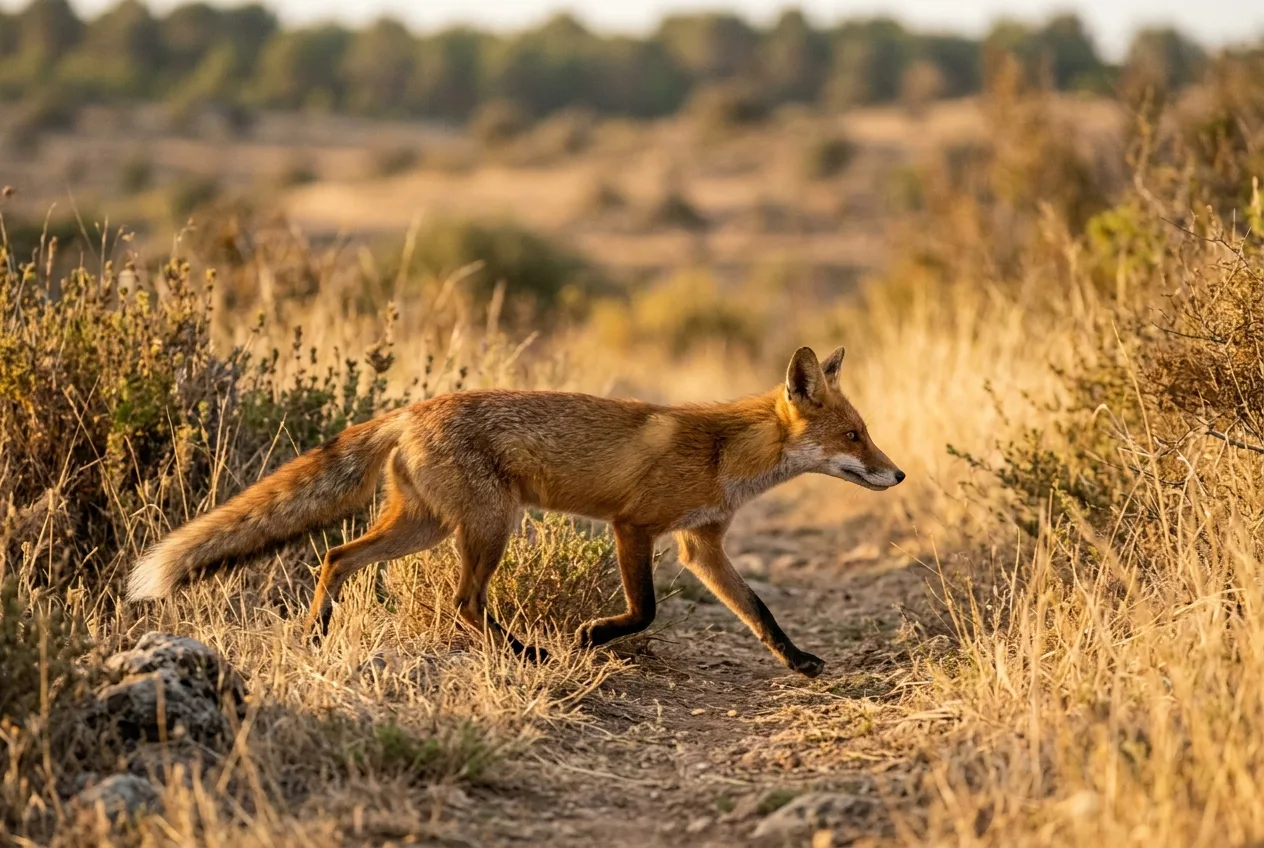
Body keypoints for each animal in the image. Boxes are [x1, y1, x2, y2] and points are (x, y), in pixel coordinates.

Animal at [128, 345, 904, 677]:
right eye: (854, 435)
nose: (896, 473)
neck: (723, 454)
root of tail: (411, 408)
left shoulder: (702, 546)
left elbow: (761, 614)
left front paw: (799, 661)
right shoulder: (634, 526)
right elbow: (645, 610)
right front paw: (593, 636)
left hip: (426, 527)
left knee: (335, 555)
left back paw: (318, 633)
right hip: (489, 526)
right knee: (463, 603)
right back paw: (528, 653)